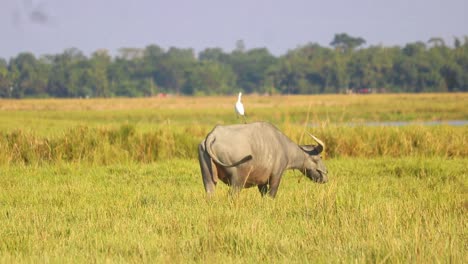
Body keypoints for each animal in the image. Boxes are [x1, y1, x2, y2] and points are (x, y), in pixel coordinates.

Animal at [197, 120, 326, 197]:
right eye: (320, 156)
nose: (325, 176)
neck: (284, 146)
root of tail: (214, 134)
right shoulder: (276, 175)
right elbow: (272, 194)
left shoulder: (261, 182)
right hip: (238, 180)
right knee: (232, 195)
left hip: (208, 177)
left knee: (210, 192)